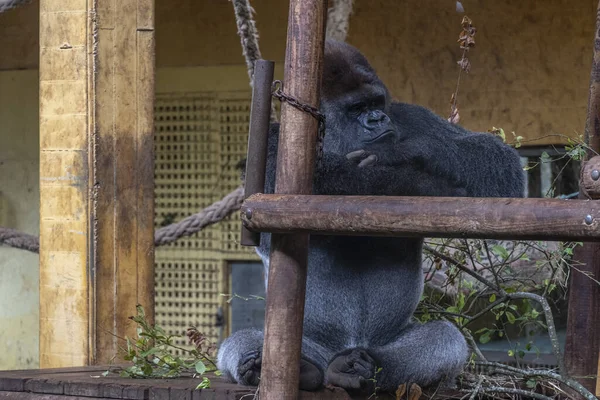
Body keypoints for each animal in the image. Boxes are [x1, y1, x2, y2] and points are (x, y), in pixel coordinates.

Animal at [217, 39, 524, 394]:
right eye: (356, 109)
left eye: (376, 103)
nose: (377, 119)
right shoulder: (274, 143)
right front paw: (414, 178)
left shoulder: (412, 116)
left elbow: (497, 161)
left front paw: (402, 152)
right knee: (243, 341)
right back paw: (281, 367)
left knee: (444, 339)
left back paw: (364, 367)